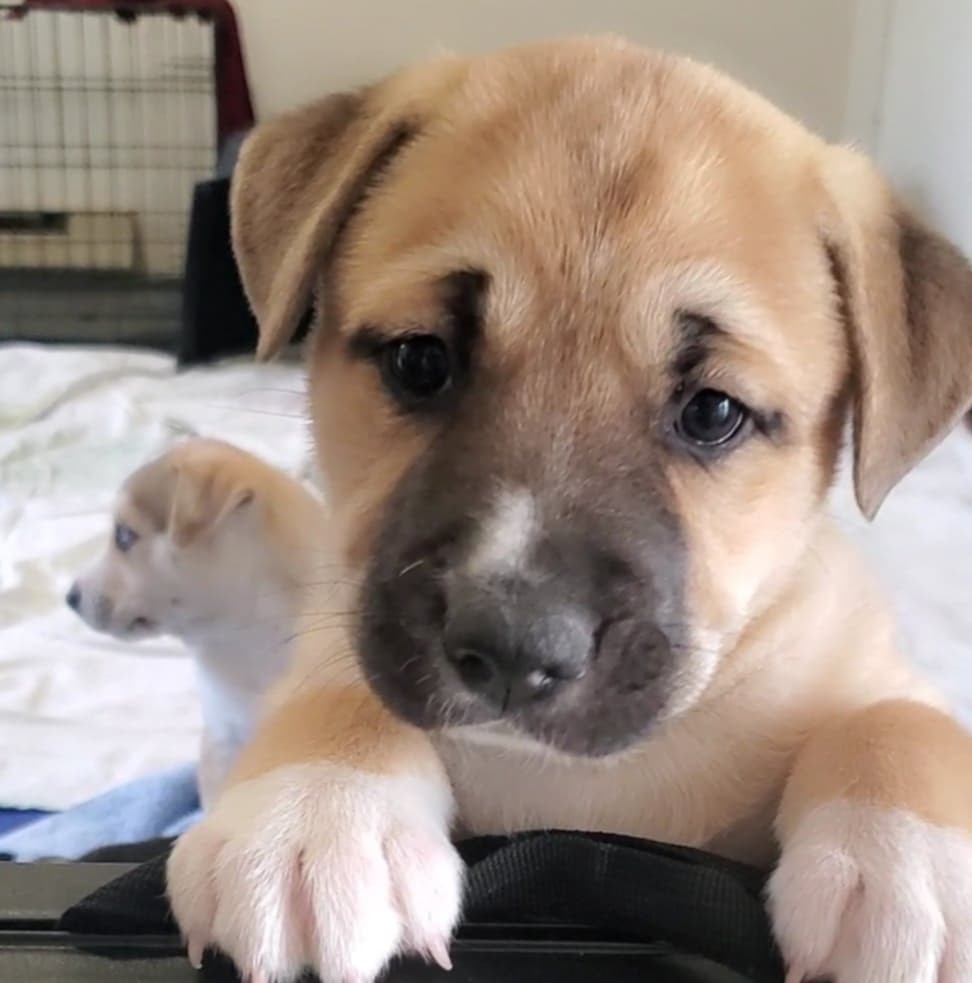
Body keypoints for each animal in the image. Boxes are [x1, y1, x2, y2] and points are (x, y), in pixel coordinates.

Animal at [165, 38, 972, 983]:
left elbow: (901, 724)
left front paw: (911, 870)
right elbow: (344, 694)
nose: (516, 649)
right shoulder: (344, 631)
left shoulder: (863, 661)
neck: (581, 788)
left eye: (713, 412)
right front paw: (313, 815)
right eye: (420, 359)